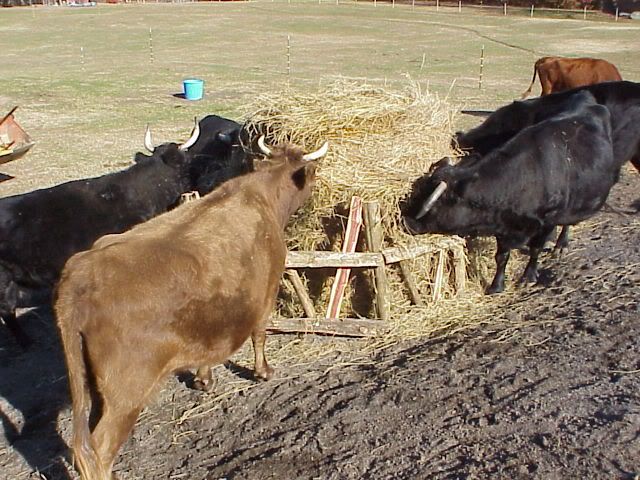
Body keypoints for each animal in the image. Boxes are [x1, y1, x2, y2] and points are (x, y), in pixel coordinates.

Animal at [55, 137, 328, 480]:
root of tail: (80, 274)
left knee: (84, 444)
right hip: (125, 394)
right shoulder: (268, 290)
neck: (257, 195)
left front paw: (203, 380)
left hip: (91, 386)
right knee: (98, 450)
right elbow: (260, 334)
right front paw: (263, 372)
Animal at [403, 91, 618, 294]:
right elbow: (501, 256)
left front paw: (528, 276)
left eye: (434, 205)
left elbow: (535, 249)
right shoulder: (501, 223)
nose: (406, 221)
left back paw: (560, 245)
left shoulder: (547, 221)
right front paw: (496, 286)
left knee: (567, 223)